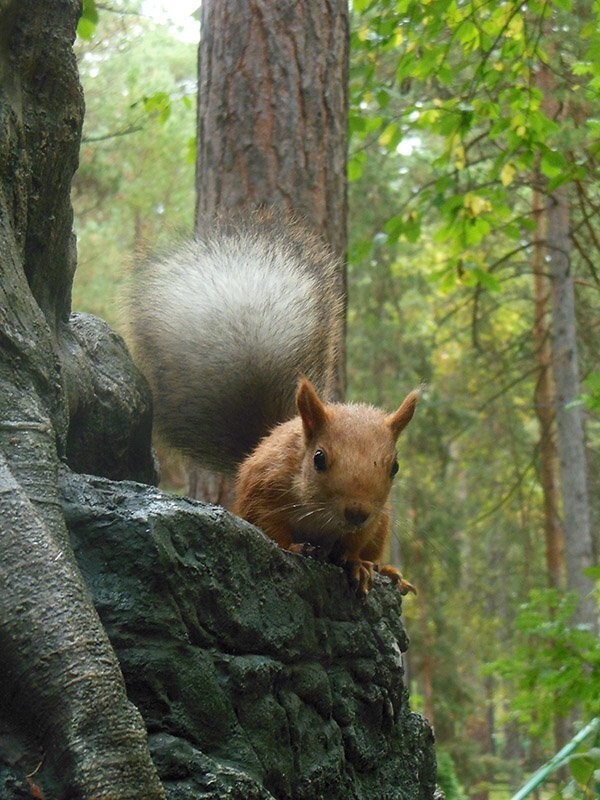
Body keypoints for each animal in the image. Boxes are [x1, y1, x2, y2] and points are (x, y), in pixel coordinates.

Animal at [126, 212, 418, 592]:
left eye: (394, 467)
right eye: (319, 459)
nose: (356, 512)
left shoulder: (372, 520)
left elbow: (356, 543)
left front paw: (358, 565)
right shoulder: (265, 488)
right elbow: (271, 526)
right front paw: (294, 547)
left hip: (382, 523)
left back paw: (386, 570)